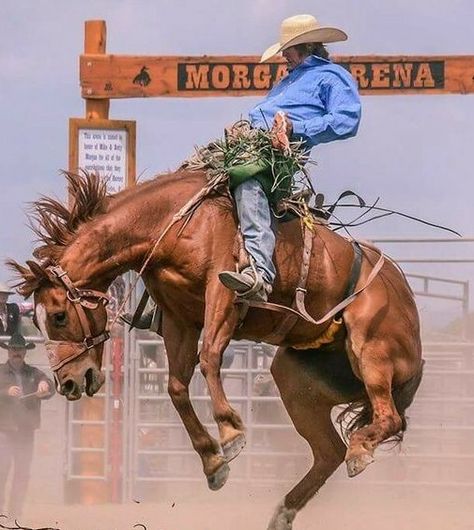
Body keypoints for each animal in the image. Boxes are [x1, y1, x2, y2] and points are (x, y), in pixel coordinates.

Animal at [8, 170, 422, 528]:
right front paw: (212, 462)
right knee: (328, 450)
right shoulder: (179, 319)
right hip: (294, 378)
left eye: (59, 316)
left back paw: (360, 450)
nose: (68, 383)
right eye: (40, 321)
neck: (171, 224)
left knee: (387, 418)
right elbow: (176, 387)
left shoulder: (222, 294)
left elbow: (209, 358)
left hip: (371, 350)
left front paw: (230, 433)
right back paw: (284, 512)